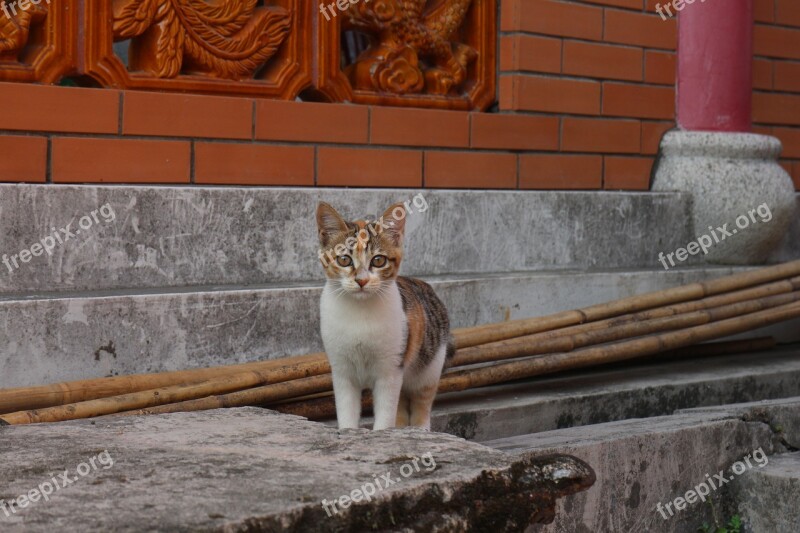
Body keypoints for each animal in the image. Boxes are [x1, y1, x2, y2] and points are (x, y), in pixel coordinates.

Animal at [318, 202, 456, 430]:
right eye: (344, 259)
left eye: (378, 260)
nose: (361, 280)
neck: (360, 311)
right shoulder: (341, 370)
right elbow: (346, 410)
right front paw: (348, 430)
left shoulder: (390, 369)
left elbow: (386, 411)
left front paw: (384, 432)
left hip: (430, 366)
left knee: (421, 401)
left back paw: (420, 429)